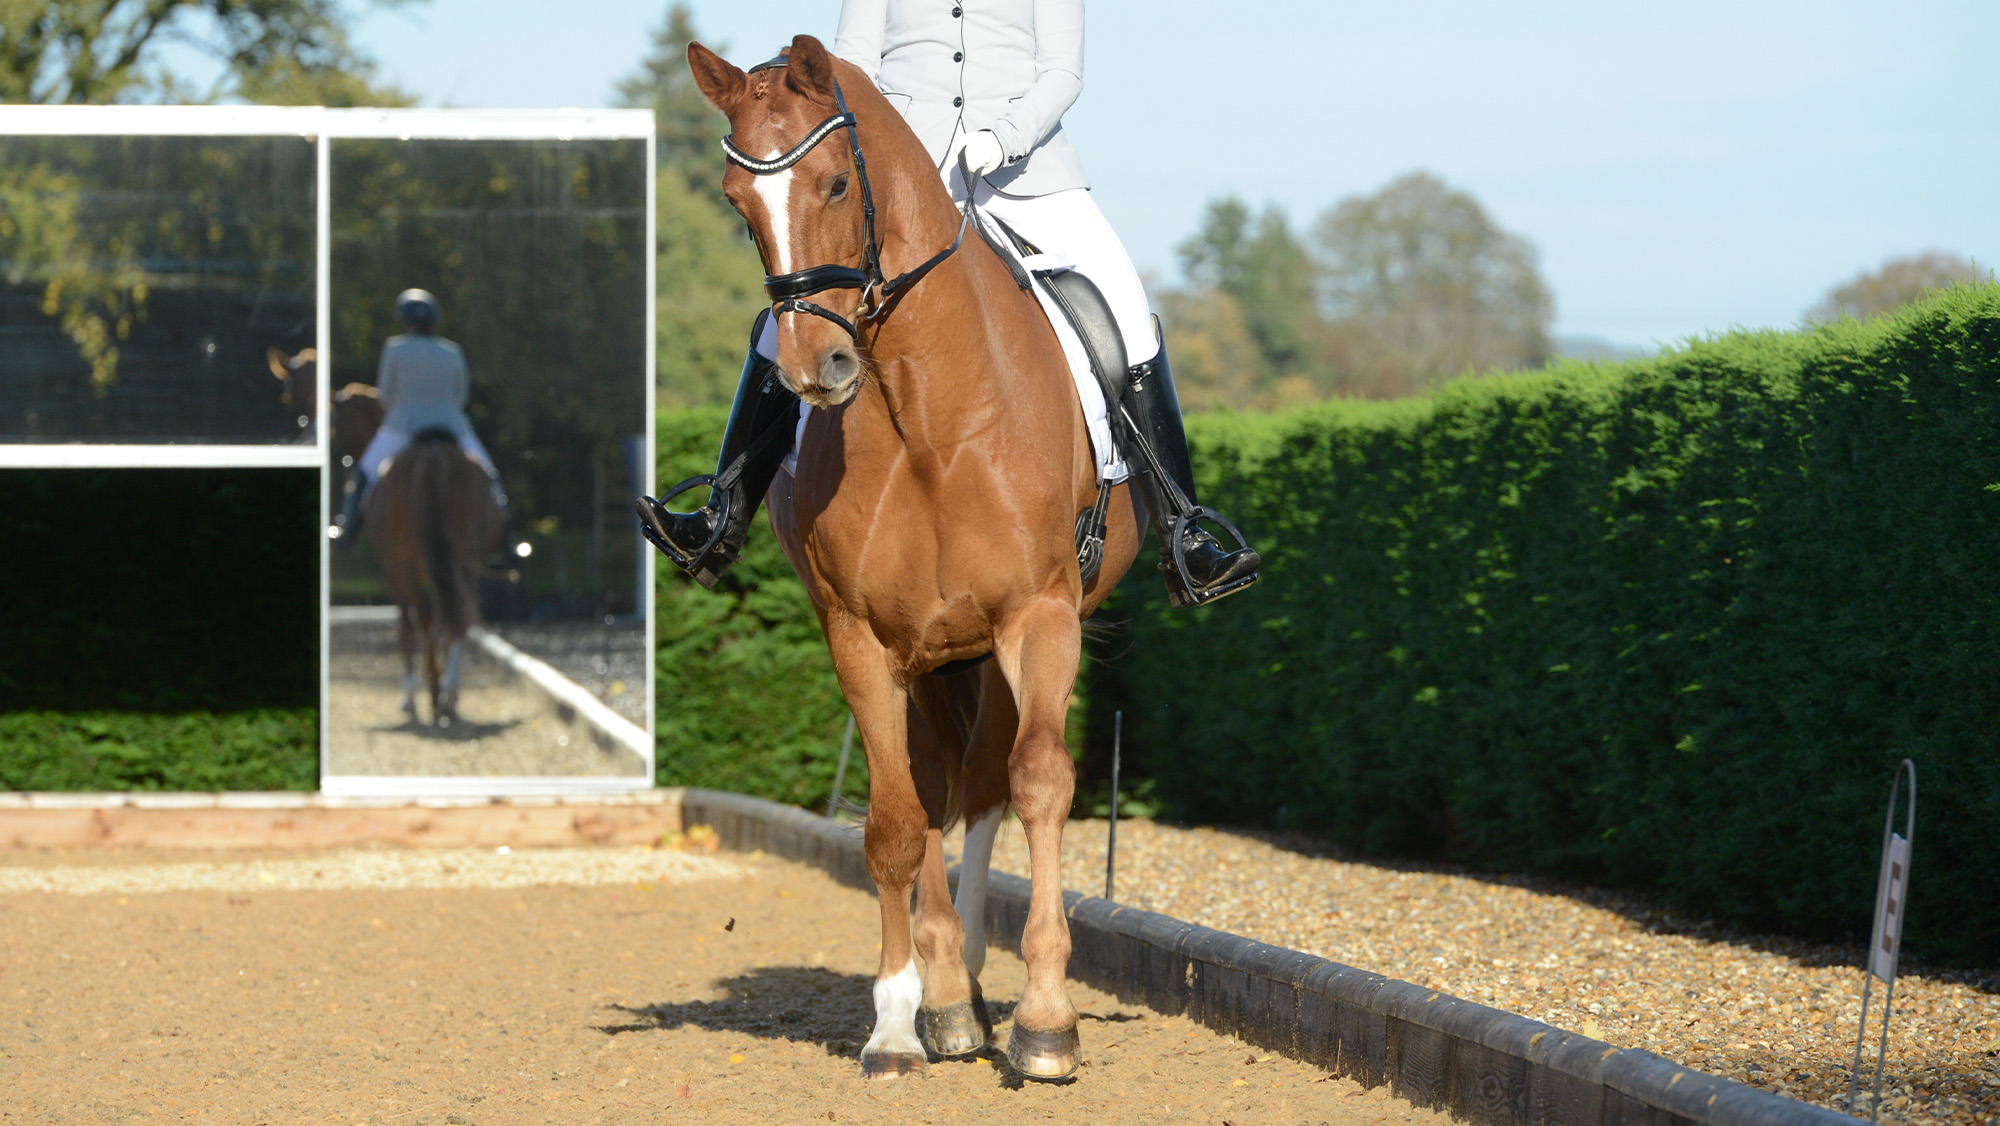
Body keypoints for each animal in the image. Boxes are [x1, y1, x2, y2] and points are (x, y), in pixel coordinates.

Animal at [686, 36, 1145, 1081]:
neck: (931, 413)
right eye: (736, 201)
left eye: (830, 181)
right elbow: (894, 822)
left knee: (983, 788)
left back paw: (973, 985)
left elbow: (1039, 782)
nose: (816, 369)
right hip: (933, 656)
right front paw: (897, 1022)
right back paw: (946, 998)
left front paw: (1048, 1020)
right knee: (939, 787)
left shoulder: (1038, 617)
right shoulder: (860, 638)